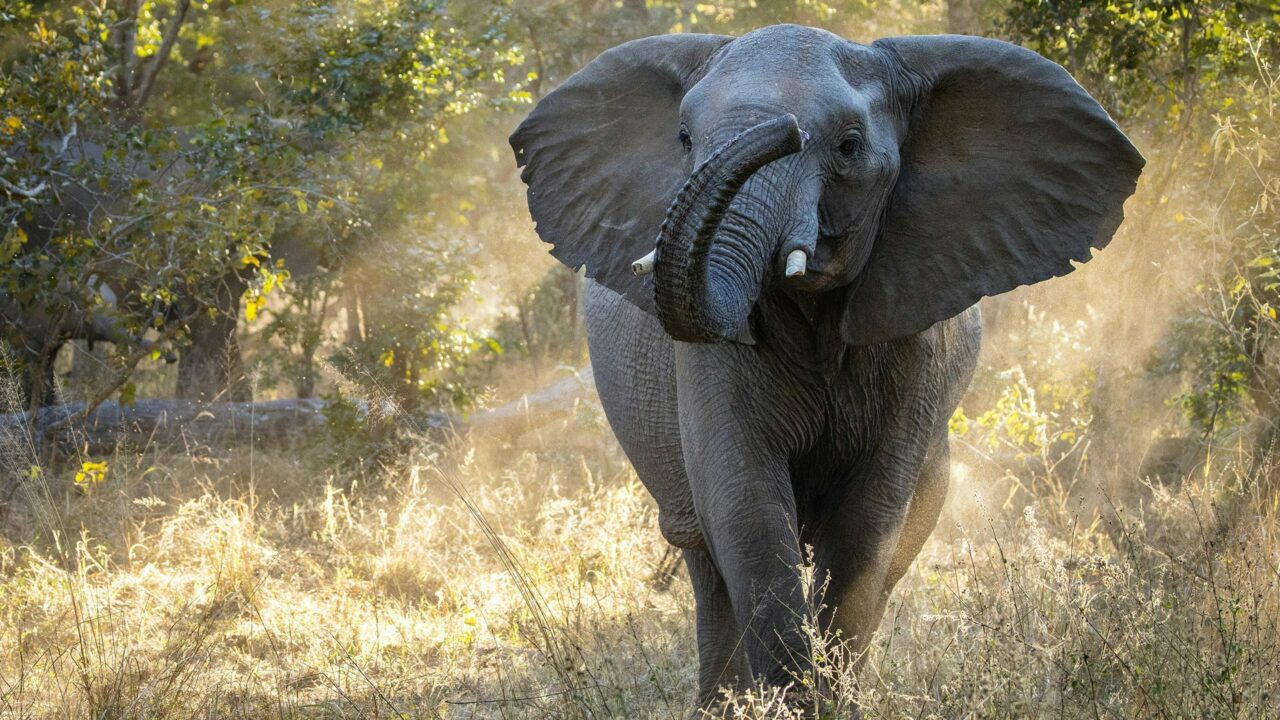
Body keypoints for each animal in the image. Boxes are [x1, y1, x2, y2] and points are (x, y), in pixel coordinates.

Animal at [510, 25, 1143, 708]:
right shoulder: (709, 359)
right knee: (703, 553)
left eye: (848, 146)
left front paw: (828, 701)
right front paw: (789, 704)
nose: (783, 130)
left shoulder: (917, 339)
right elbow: (746, 506)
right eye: (682, 138)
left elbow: (868, 521)